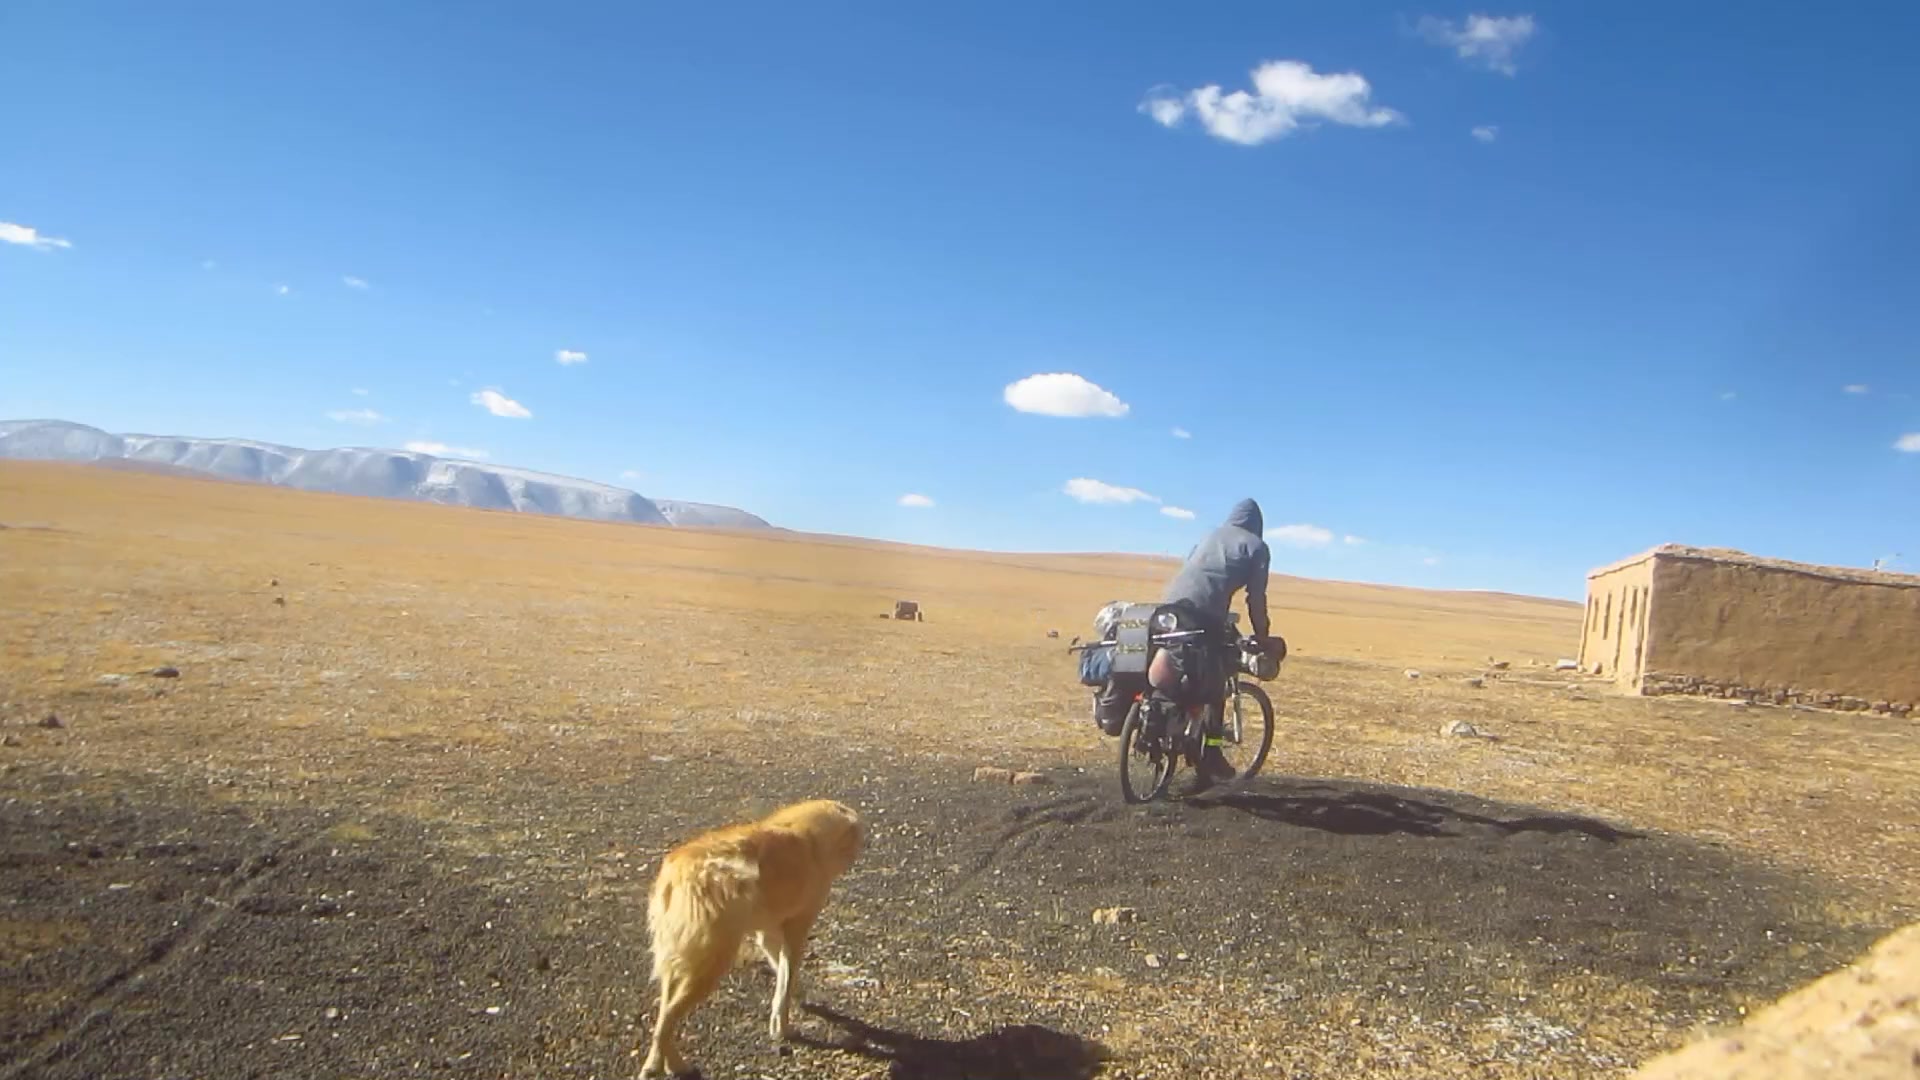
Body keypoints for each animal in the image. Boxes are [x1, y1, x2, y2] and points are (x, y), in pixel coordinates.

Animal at [637, 795, 864, 1068]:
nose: (859, 849)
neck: (806, 836)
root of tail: (675, 869)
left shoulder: (767, 934)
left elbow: (784, 974)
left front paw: (796, 997)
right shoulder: (796, 929)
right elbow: (786, 981)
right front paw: (783, 1028)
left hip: (678, 958)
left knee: (664, 1015)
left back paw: (668, 1062)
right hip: (709, 963)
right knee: (667, 1020)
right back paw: (663, 1067)